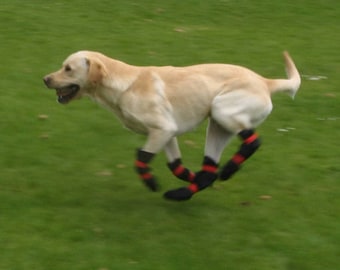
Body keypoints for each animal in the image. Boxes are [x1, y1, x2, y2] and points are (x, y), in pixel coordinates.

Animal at [43, 50, 302, 200]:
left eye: (68, 69)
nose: (45, 79)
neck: (125, 85)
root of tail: (266, 82)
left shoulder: (162, 129)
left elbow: (141, 158)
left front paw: (151, 183)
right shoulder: (167, 133)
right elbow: (176, 166)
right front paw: (190, 178)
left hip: (222, 109)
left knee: (253, 141)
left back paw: (228, 170)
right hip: (218, 125)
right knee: (210, 169)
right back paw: (184, 192)